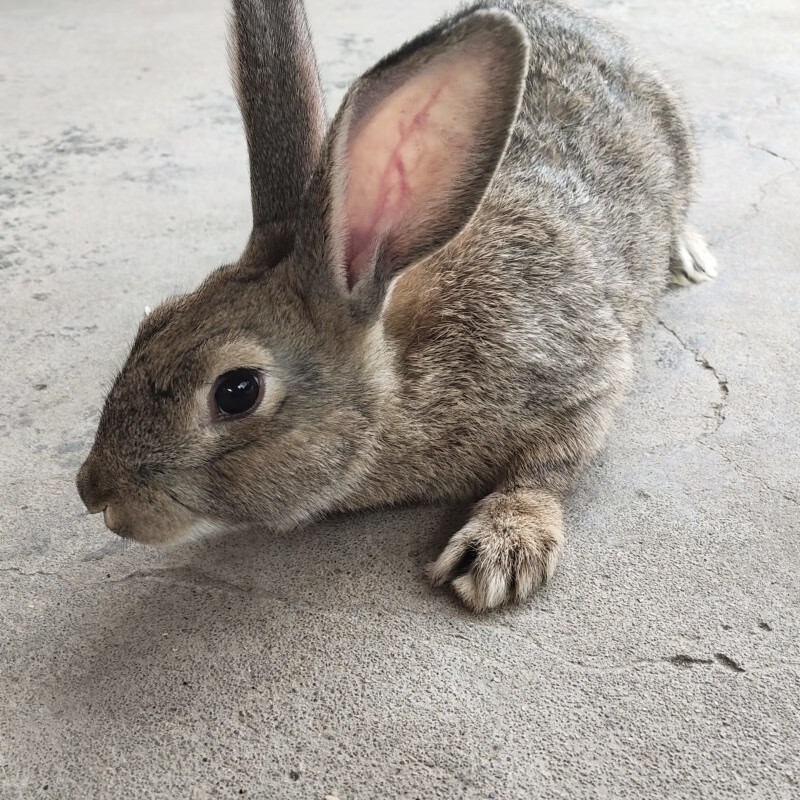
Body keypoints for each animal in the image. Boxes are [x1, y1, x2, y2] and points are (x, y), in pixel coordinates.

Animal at [76, 0, 720, 612]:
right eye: (153, 321)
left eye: (237, 391)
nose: (93, 492)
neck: (400, 383)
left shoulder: (577, 377)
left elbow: (549, 467)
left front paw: (501, 550)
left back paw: (688, 254)